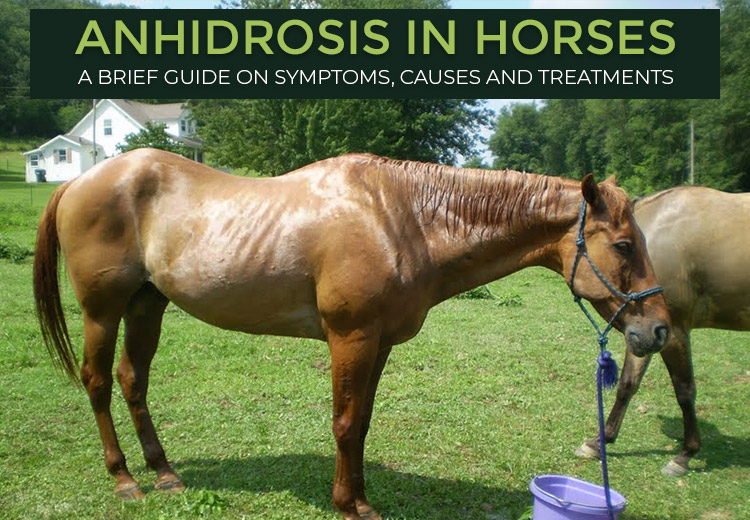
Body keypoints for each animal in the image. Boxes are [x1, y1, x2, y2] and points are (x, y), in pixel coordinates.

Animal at [34, 149, 670, 520]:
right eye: (623, 246)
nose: (658, 329)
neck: (402, 216)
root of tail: (80, 180)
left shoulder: (378, 343)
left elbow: (360, 423)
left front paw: (362, 499)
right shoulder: (352, 338)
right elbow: (343, 423)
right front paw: (346, 505)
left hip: (148, 305)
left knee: (132, 379)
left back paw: (164, 473)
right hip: (103, 311)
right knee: (96, 382)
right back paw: (124, 480)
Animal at [576, 186, 750, 477]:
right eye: (624, 248)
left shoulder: (671, 331)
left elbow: (685, 390)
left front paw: (685, 454)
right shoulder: (646, 332)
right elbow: (627, 384)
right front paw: (599, 441)